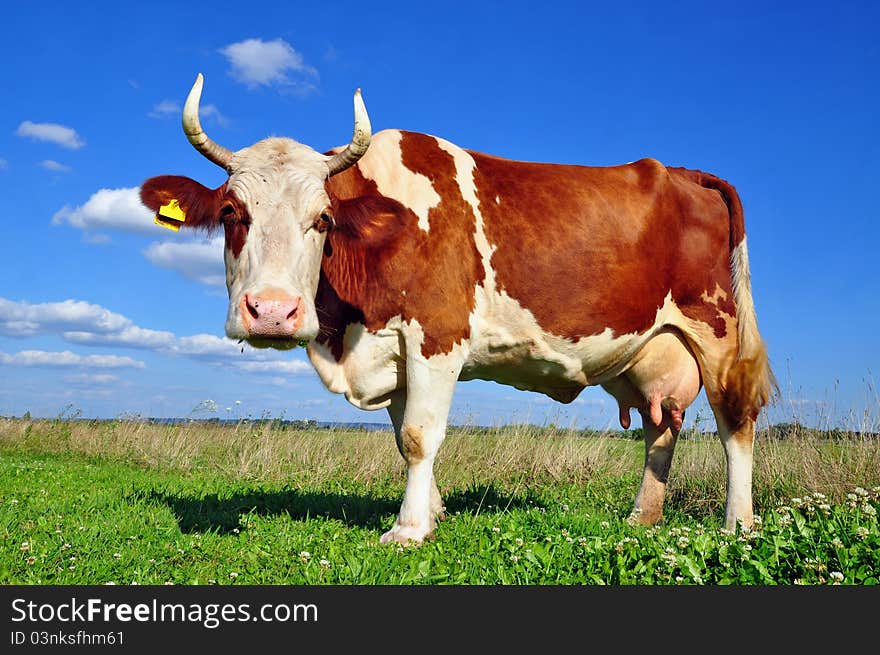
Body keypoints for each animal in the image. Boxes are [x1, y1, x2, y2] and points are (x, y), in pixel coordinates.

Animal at [141, 74, 772, 544]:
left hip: (716, 330)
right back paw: (642, 517)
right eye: (230, 212)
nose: (272, 312)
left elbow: (421, 434)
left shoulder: (436, 338)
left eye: (323, 218)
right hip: (652, 348)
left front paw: (408, 528)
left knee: (733, 421)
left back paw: (737, 524)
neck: (345, 335)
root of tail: (682, 172)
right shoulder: (392, 351)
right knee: (661, 425)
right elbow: (403, 439)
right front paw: (433, 511)